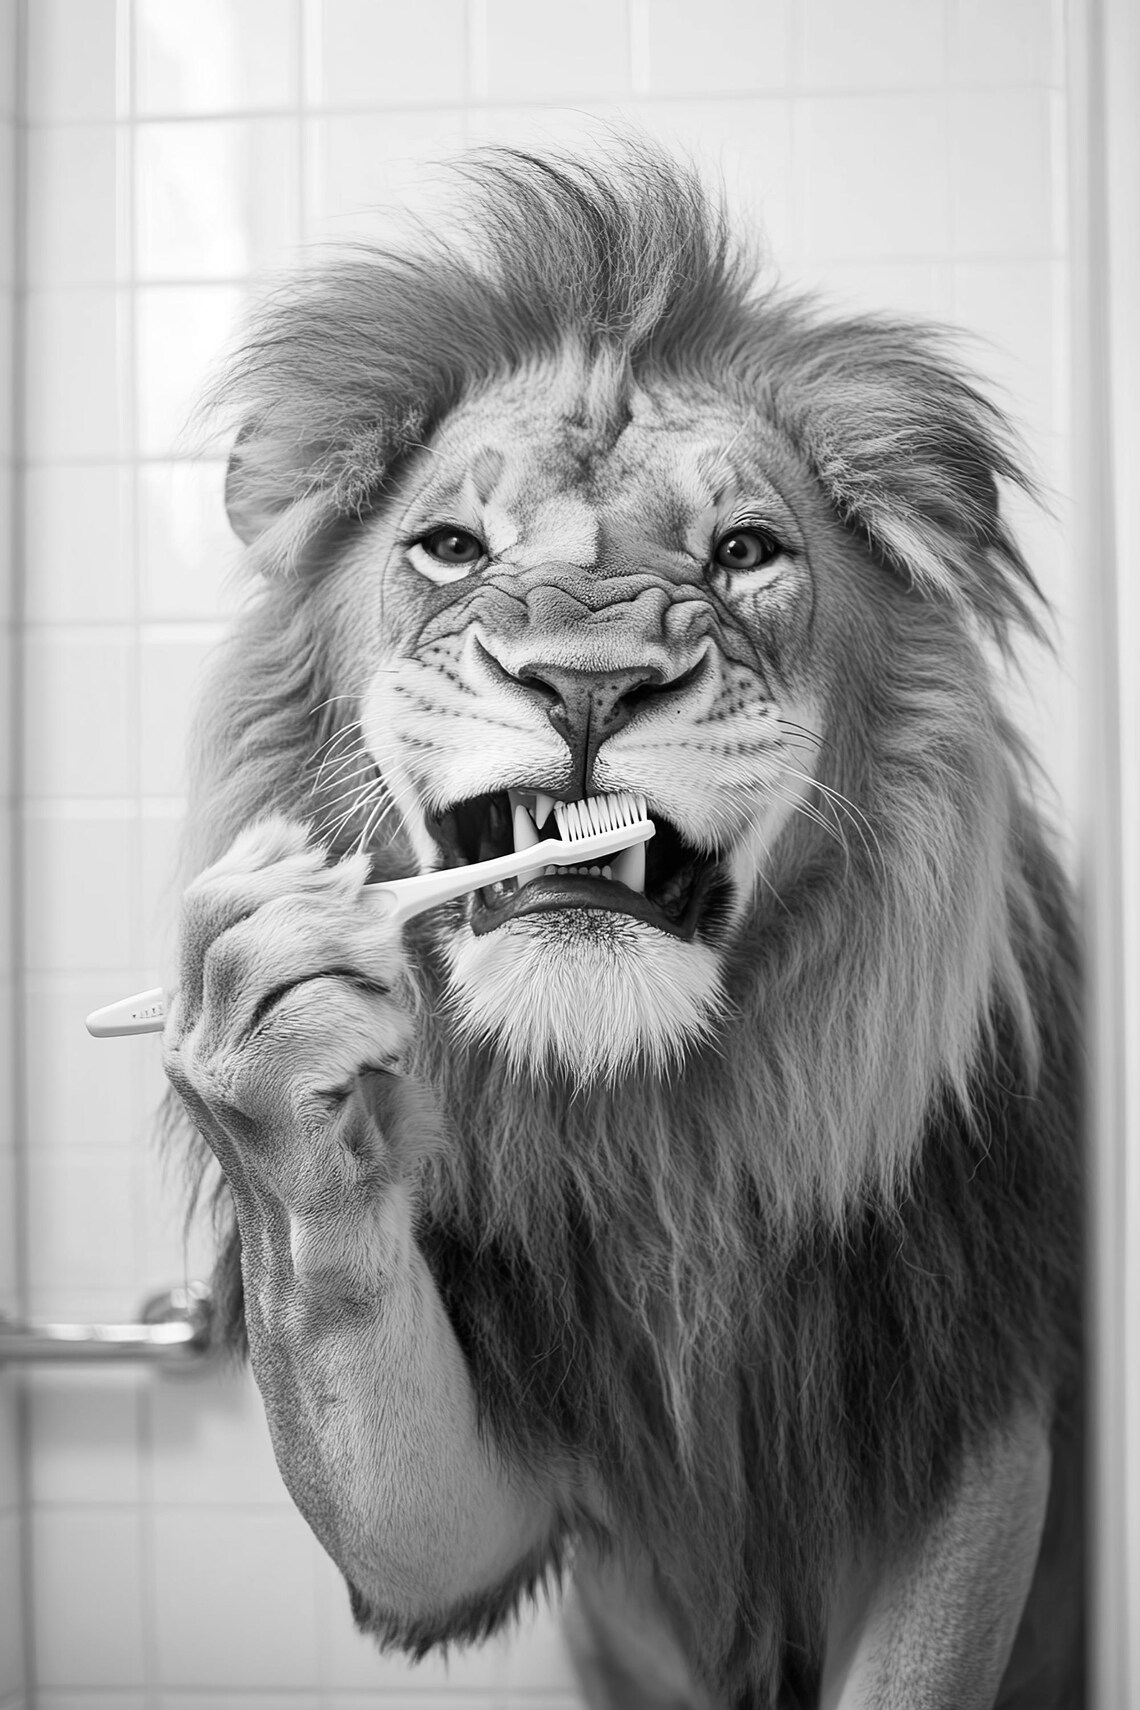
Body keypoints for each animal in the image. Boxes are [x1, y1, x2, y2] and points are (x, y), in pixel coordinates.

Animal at [163, 147, 1083, 1709]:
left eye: (747, 550)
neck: (654, 1136)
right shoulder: (484, 1494)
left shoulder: (971, 1412)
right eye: (450, 546)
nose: (587, 680)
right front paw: (275, 1051)